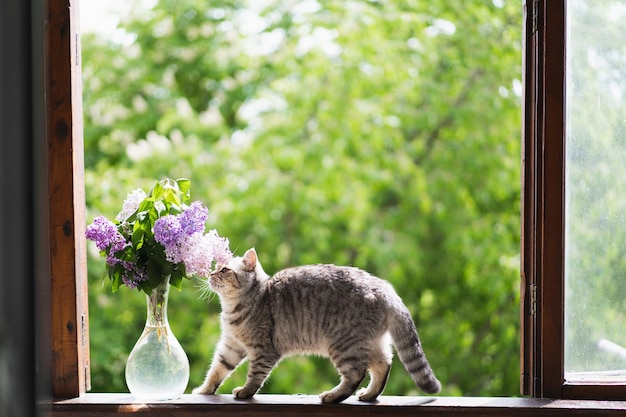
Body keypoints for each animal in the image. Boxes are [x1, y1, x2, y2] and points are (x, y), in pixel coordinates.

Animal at [191, 247, 438, 404]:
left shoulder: (264, 350)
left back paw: (333, 396)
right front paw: (204, 389)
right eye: (216, 266)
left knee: (355, 374)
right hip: (370, 343)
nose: (210, 273)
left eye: (225, 270)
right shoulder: (231, 346)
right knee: (383, 365)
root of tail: (385, 288)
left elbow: (255, 375)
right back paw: (369, 395)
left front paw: (245, 391)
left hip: (343, 345)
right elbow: (217, 370)